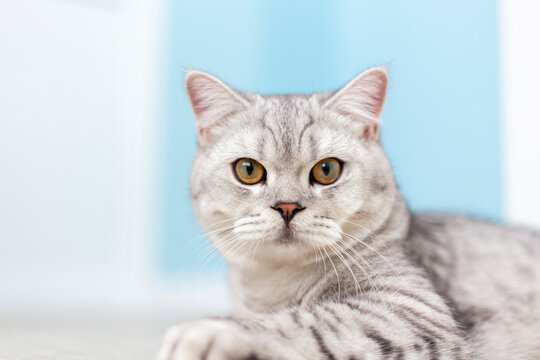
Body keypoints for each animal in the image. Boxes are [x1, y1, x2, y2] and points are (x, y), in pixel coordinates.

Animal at [155, 68, 540, 360]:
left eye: (327, 170)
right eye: (248, 170)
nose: (287, 206)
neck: (272, 289)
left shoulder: (412, 309)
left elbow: (307, 323)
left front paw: (209, 331)